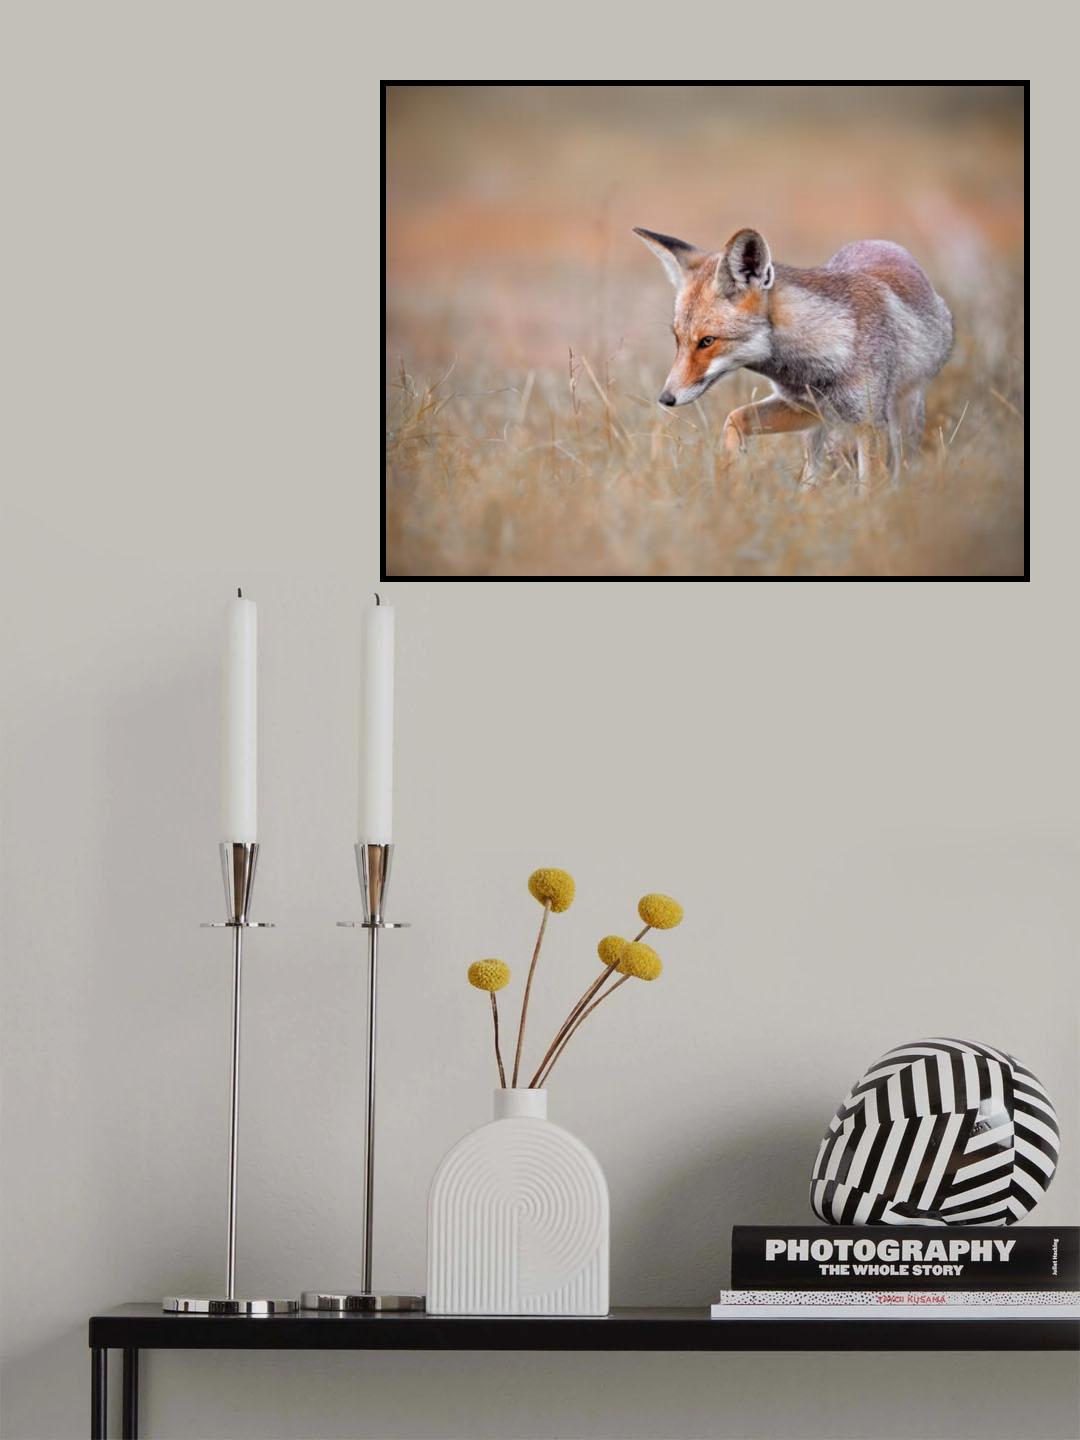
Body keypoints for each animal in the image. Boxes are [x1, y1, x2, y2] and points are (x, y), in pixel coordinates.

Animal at [633, 225, 953, 487]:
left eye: (707, 341)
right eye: (678, 340)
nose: (666, 398)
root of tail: (879, 241)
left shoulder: (869, 422)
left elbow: (871, 485)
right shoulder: (804, 408)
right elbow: (735, 419)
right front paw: (732, 478)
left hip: (905, 414)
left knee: (903, 464)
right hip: (817, 431)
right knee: (813, 471)